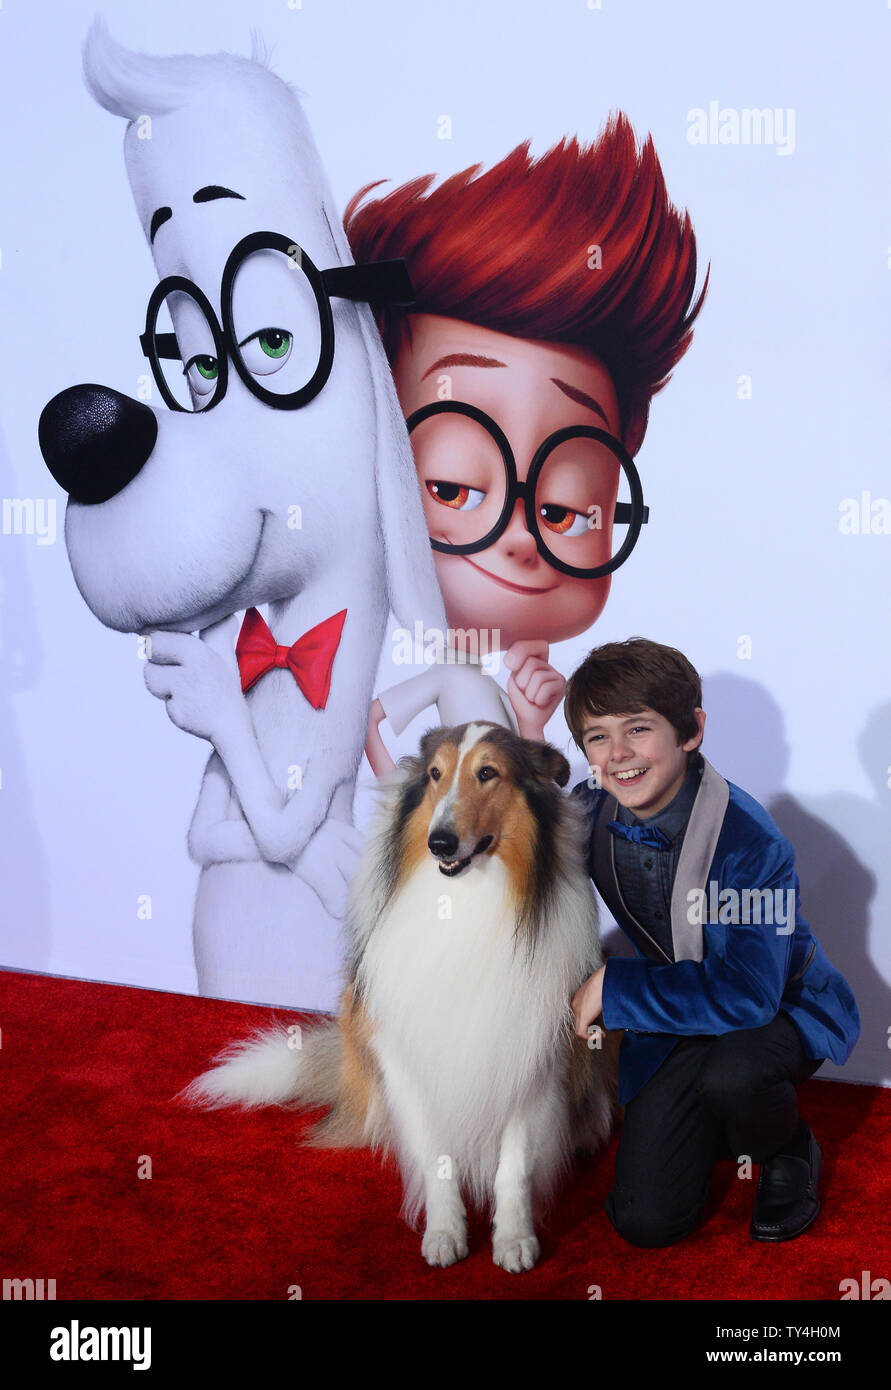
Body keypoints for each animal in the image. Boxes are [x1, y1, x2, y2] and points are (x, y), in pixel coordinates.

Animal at [183, 722, 614, 1273]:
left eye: (488, 773)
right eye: (434, 774)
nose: (440, 841)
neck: (467, 901)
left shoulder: (530, 1050)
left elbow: (514, 1166)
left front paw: (515, 1239)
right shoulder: (403, 1050)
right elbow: (436, 1155)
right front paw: (445, 1232)